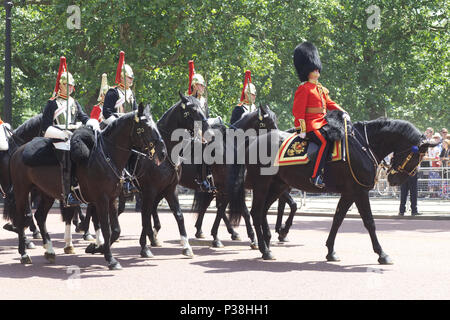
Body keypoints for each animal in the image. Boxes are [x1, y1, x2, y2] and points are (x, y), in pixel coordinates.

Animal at [4, 105, 167, 270]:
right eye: (144, 127)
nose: (163, 153)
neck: (106, 156)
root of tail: (18, 150)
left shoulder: (112, 198)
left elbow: (115, 230)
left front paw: (96, 247)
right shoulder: (101, 199)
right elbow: (106, 229)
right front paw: (110, 259)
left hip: (46, 193)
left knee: (40, 216)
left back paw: (49, 251)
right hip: (22, 191)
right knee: (22, 218)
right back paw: (24, 253)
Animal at [229, 114, 436, 264]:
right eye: (416, 157)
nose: (394, 179)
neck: (364, 145)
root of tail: (252, 141)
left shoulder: (350, 192)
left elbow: (337, 219)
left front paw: (330, 251)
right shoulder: (359, 191)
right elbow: (369, 222)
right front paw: (382, 254)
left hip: (278, 185)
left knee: (262, 211)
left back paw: (267, 242)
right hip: (262, 184)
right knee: (256, 212)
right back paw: (265, 248)